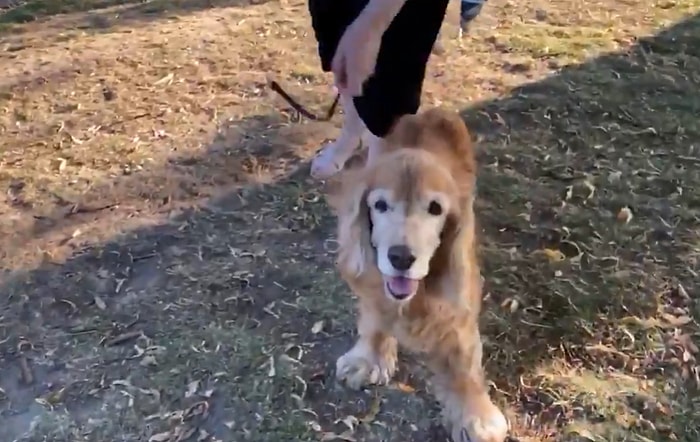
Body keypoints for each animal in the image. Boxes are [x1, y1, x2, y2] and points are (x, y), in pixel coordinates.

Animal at [326, 108, 506, 442]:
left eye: (435, 208)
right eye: (380, 205)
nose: (401, 257)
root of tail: (430, 112)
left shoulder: (459, 304)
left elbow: (465, 363)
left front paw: (476, 415)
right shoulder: (374, 284)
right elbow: (374, 320)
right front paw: (368, 359)